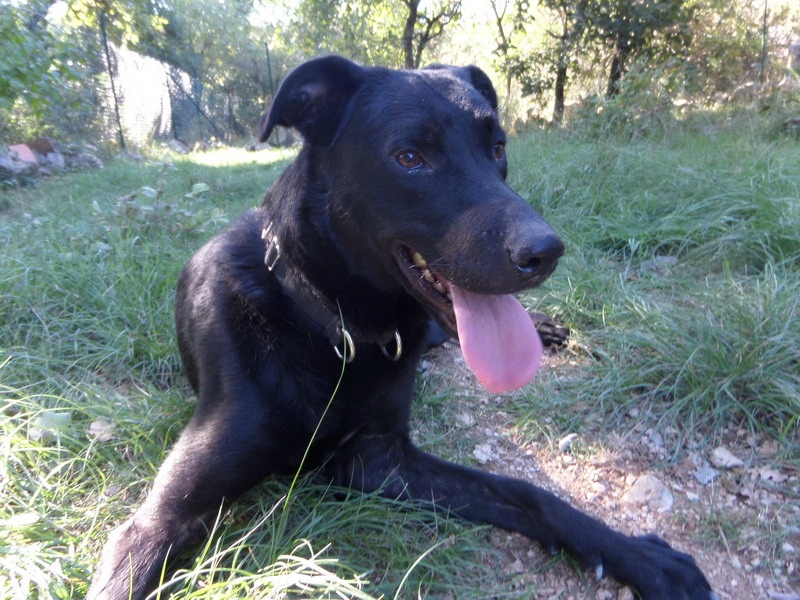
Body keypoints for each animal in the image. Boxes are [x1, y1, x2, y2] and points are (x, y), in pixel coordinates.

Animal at [87, 57, 712, 600]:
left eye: (498, 148)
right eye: (410, 157)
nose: (546, 252)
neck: (332, 326)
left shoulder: (382, 458)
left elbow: (529, 494)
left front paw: (642, 558)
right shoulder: (161, 518)